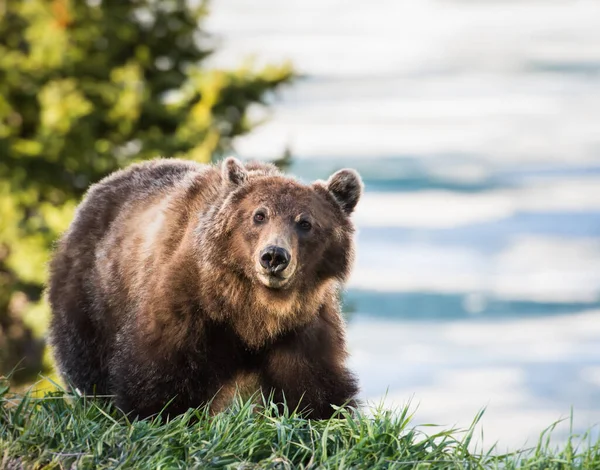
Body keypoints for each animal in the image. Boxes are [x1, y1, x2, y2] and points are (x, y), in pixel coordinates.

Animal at [47, 158, 364, 418]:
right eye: (259, 215)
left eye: (305, 222)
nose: (274, 256)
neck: (253, 308)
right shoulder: (190, 306)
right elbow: (158, 372)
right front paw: (156, 411)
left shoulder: (300, 326)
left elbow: (313, 386)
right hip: (93, 293)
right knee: (86, 357)